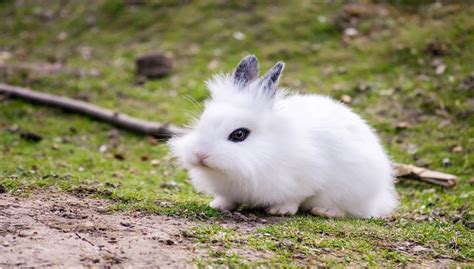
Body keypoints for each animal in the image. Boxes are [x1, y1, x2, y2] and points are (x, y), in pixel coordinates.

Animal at [168, 55, 398, 217]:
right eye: (202, 121)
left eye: (239, 134)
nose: (199, 155)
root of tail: (381, 196)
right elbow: (228, 198)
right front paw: (218, 205)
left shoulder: (304, 181)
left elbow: (295, 197)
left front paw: (281, 210)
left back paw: (325, 211)